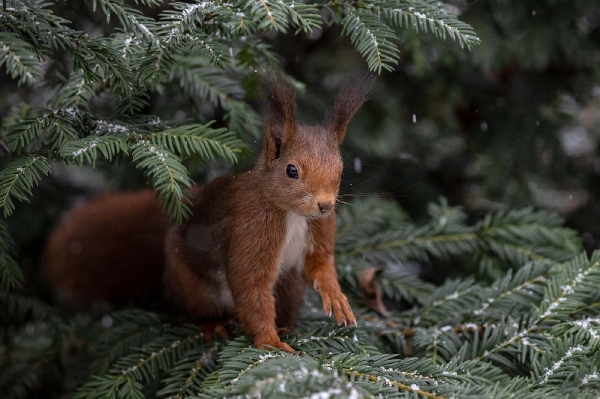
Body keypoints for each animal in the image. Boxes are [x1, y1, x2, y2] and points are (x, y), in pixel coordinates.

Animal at [45, 72, 376, 354]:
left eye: (340, 169)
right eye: (291, 170)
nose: (325, 205)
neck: (292, 214)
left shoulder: (319, 230)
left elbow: (320, 265)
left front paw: (337, 297)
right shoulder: (250, 230)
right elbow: (250, 285)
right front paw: (269, 342)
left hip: (289, 287)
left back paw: (286, 327)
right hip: (192, 284)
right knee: (195, 311)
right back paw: (216, 323)